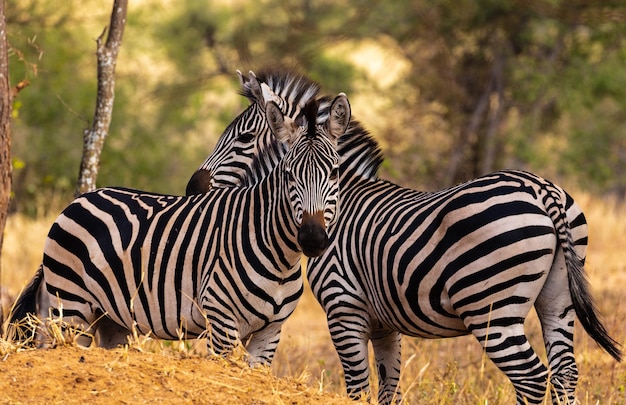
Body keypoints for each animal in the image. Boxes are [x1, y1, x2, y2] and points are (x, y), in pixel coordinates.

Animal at [7, 92, 352, 366]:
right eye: (289, 174)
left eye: (335, 173)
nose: (312, 238)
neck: (280, 257)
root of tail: (79, 200)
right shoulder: (221, 323)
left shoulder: (270, 332)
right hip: (71, 307)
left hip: (111, 319)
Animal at [184, 71, 620, 404]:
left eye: (241, 139)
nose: (192, 187)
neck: (340, 201)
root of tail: (540, 190)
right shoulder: (383, 322)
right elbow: (387, 389)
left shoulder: (343, 308)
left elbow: (358, 389)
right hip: (557, 298)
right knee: (564, 372)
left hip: (493, 308)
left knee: (531, 378)